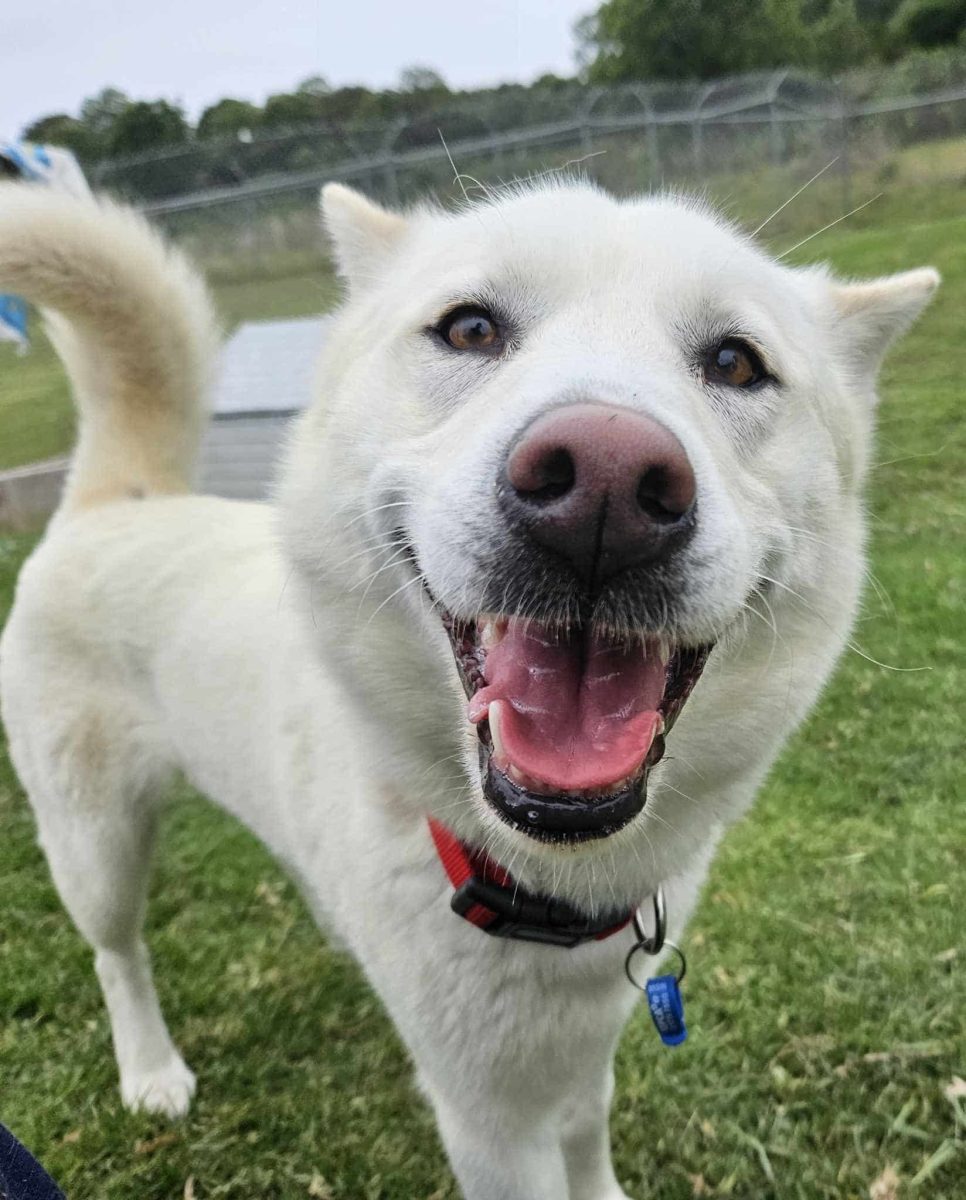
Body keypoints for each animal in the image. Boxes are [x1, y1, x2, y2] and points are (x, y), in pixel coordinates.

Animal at [0, 180, 936, 1200]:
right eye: (471, 329)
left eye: (735, 362)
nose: (605, 481)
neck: (545, 889)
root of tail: (118, 501)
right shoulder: (488, 1122)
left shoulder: (582, 1054)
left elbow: (589, 1131)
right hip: (95, 846)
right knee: (117, 954)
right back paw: (150, 1068)